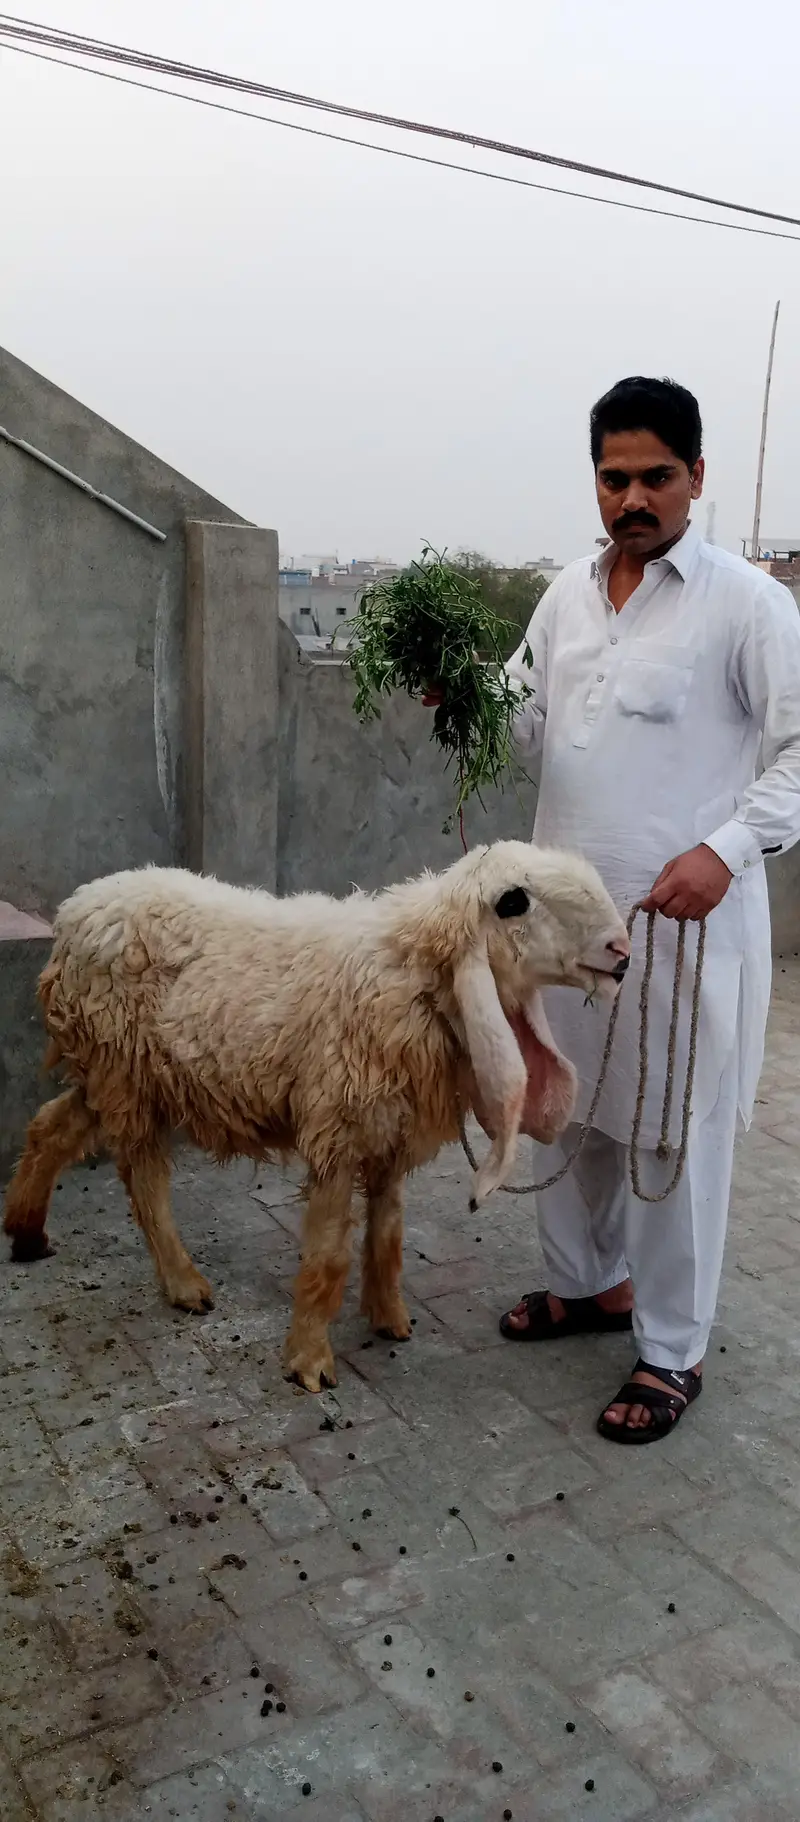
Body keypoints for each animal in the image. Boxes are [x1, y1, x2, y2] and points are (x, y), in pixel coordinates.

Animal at [3, 841, 629, 1392]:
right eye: (513, 901)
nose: (621, 951)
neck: (409, 976)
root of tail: (75, 911)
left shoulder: (389, 1131)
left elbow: (389, 1232)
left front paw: (389, 1317)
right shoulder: (337, 1127)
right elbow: (328, 1255)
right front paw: (308, 1361)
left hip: (111, 1070)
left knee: (52, 1126)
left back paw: (26, 1229)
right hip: (125, 1067)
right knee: (142, 1175)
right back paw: (183, 1282)